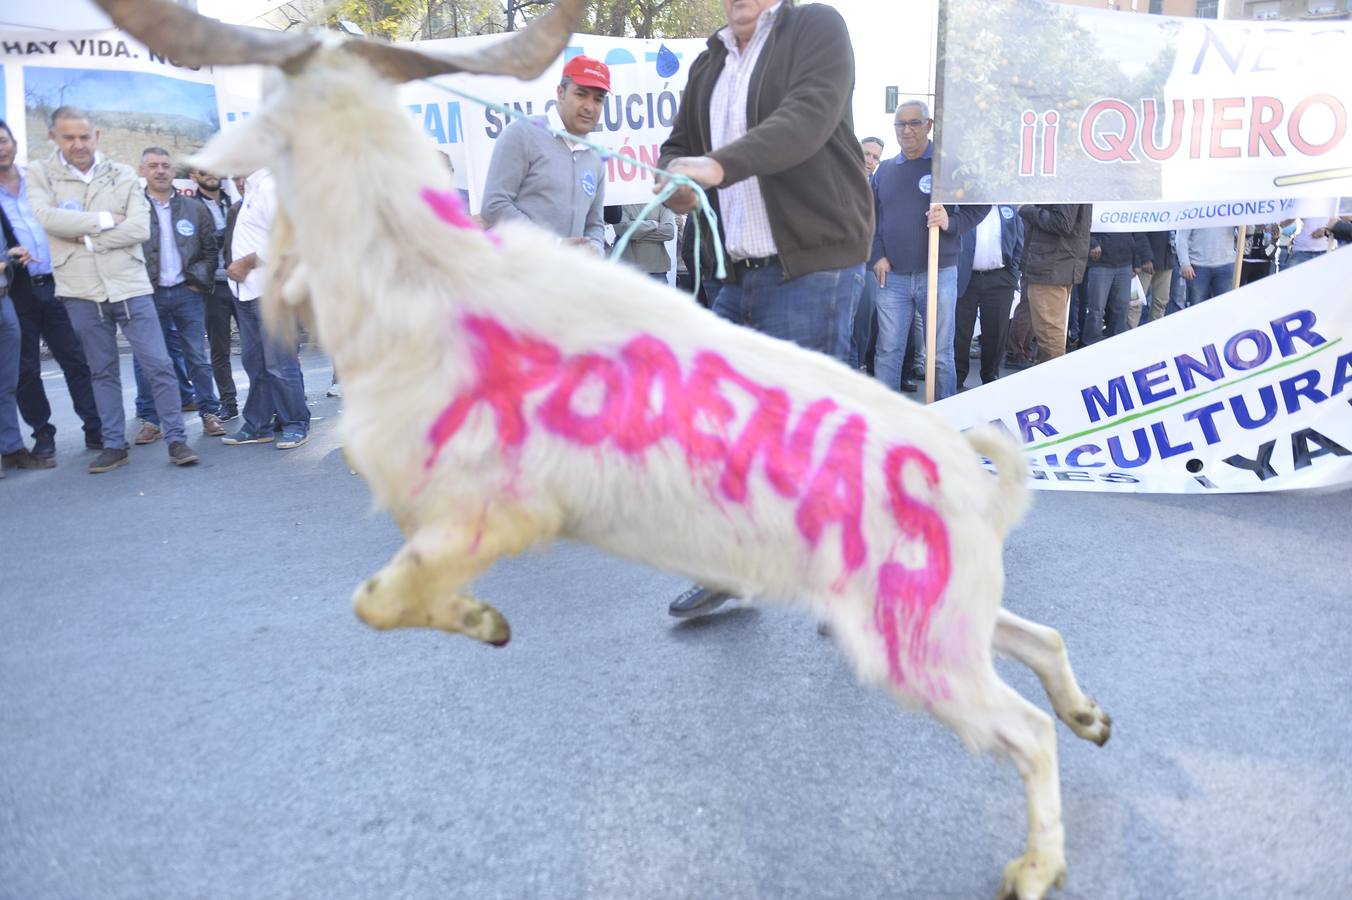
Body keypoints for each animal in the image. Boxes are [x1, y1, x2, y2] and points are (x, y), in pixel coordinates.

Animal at [92, 3, 1108, 891]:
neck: (422, 271)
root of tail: (975, 482)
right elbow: (383, 600)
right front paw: (486, 619)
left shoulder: (488, 511)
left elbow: (376, 601)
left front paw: (485, 623)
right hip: (936, 618)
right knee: (1041, 637)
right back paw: (1089, 714)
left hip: (916, 645)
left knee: (1024, 734)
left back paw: (1036, 866)